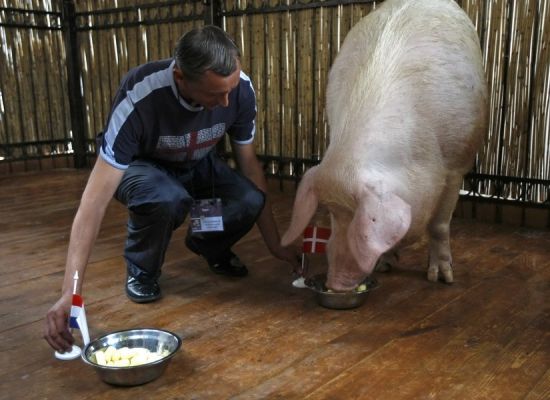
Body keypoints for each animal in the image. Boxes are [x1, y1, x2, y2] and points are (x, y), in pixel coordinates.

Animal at [282, 0, 490, 290]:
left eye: (364, 218)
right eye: (332, 213)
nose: (335, 283)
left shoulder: (456, 165)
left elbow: (439, 226)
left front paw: (442, 278)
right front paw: (384, 266)